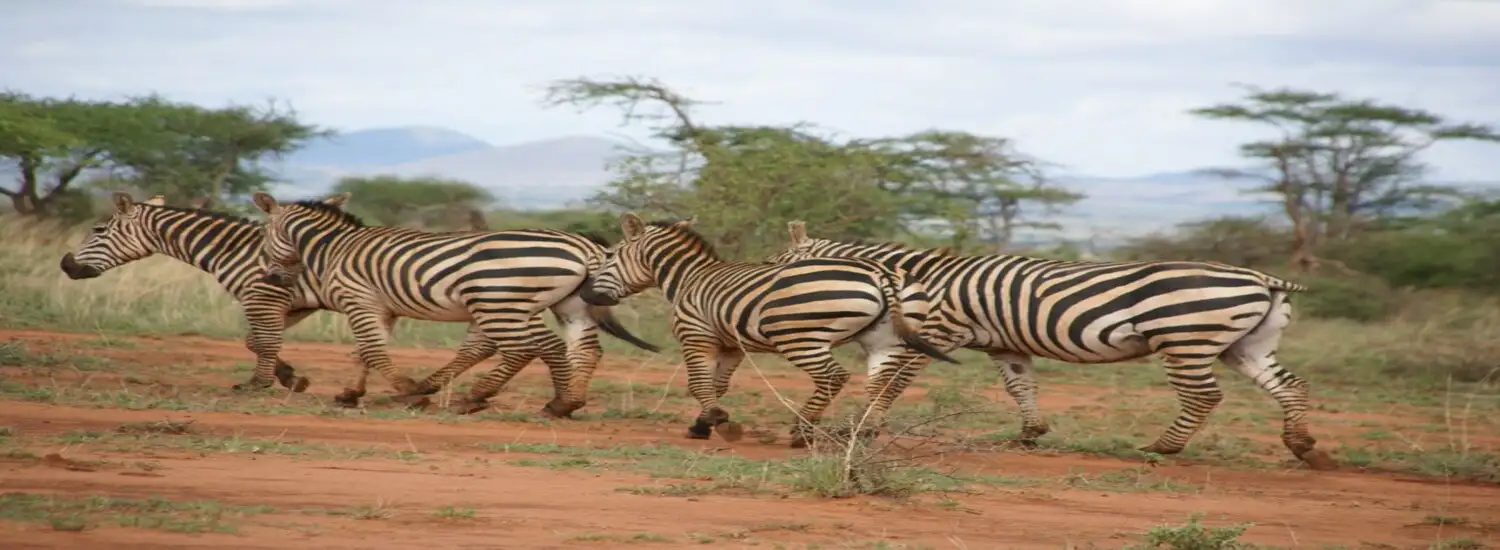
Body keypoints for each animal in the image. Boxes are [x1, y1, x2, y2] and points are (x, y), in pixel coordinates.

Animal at [249, 191, 660, 416]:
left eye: (264, 234)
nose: (274, 278)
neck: (334, 248)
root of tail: (586, 245)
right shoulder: (381, 307)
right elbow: (363, 353)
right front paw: (350, 394)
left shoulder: (359, 300)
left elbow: (373, 351)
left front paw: (408, 391)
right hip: (565, 305)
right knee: (582, 349)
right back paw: (565, 401)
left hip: (500, 303)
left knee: (533, 348)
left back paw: (529, 402)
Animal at [577, 213, 959, 447]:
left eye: (608, 256)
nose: (585, 293)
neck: (689, 279)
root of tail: (883, 274)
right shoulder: (731, 345)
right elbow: (717, 384)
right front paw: (708, 421)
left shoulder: (696, 335)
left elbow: (697, 383)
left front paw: (708, 422)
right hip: (885, 342)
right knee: (881, 385)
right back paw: (861, 432)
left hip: (801, 338)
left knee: (833, 377)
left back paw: (802, 432)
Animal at [764, 221, 1334, 470]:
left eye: (774, 266)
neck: (916, 283)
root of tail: (1263, 277)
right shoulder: (1004, 346)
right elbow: (1021, 387)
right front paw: (1030, 434)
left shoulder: (939, 332)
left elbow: (893, 380)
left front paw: (865, 427)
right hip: (1244, 345)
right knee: (1290, 385)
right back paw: (1303, 446)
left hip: (1186, 337)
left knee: (1202, 396)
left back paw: (1162, 448)